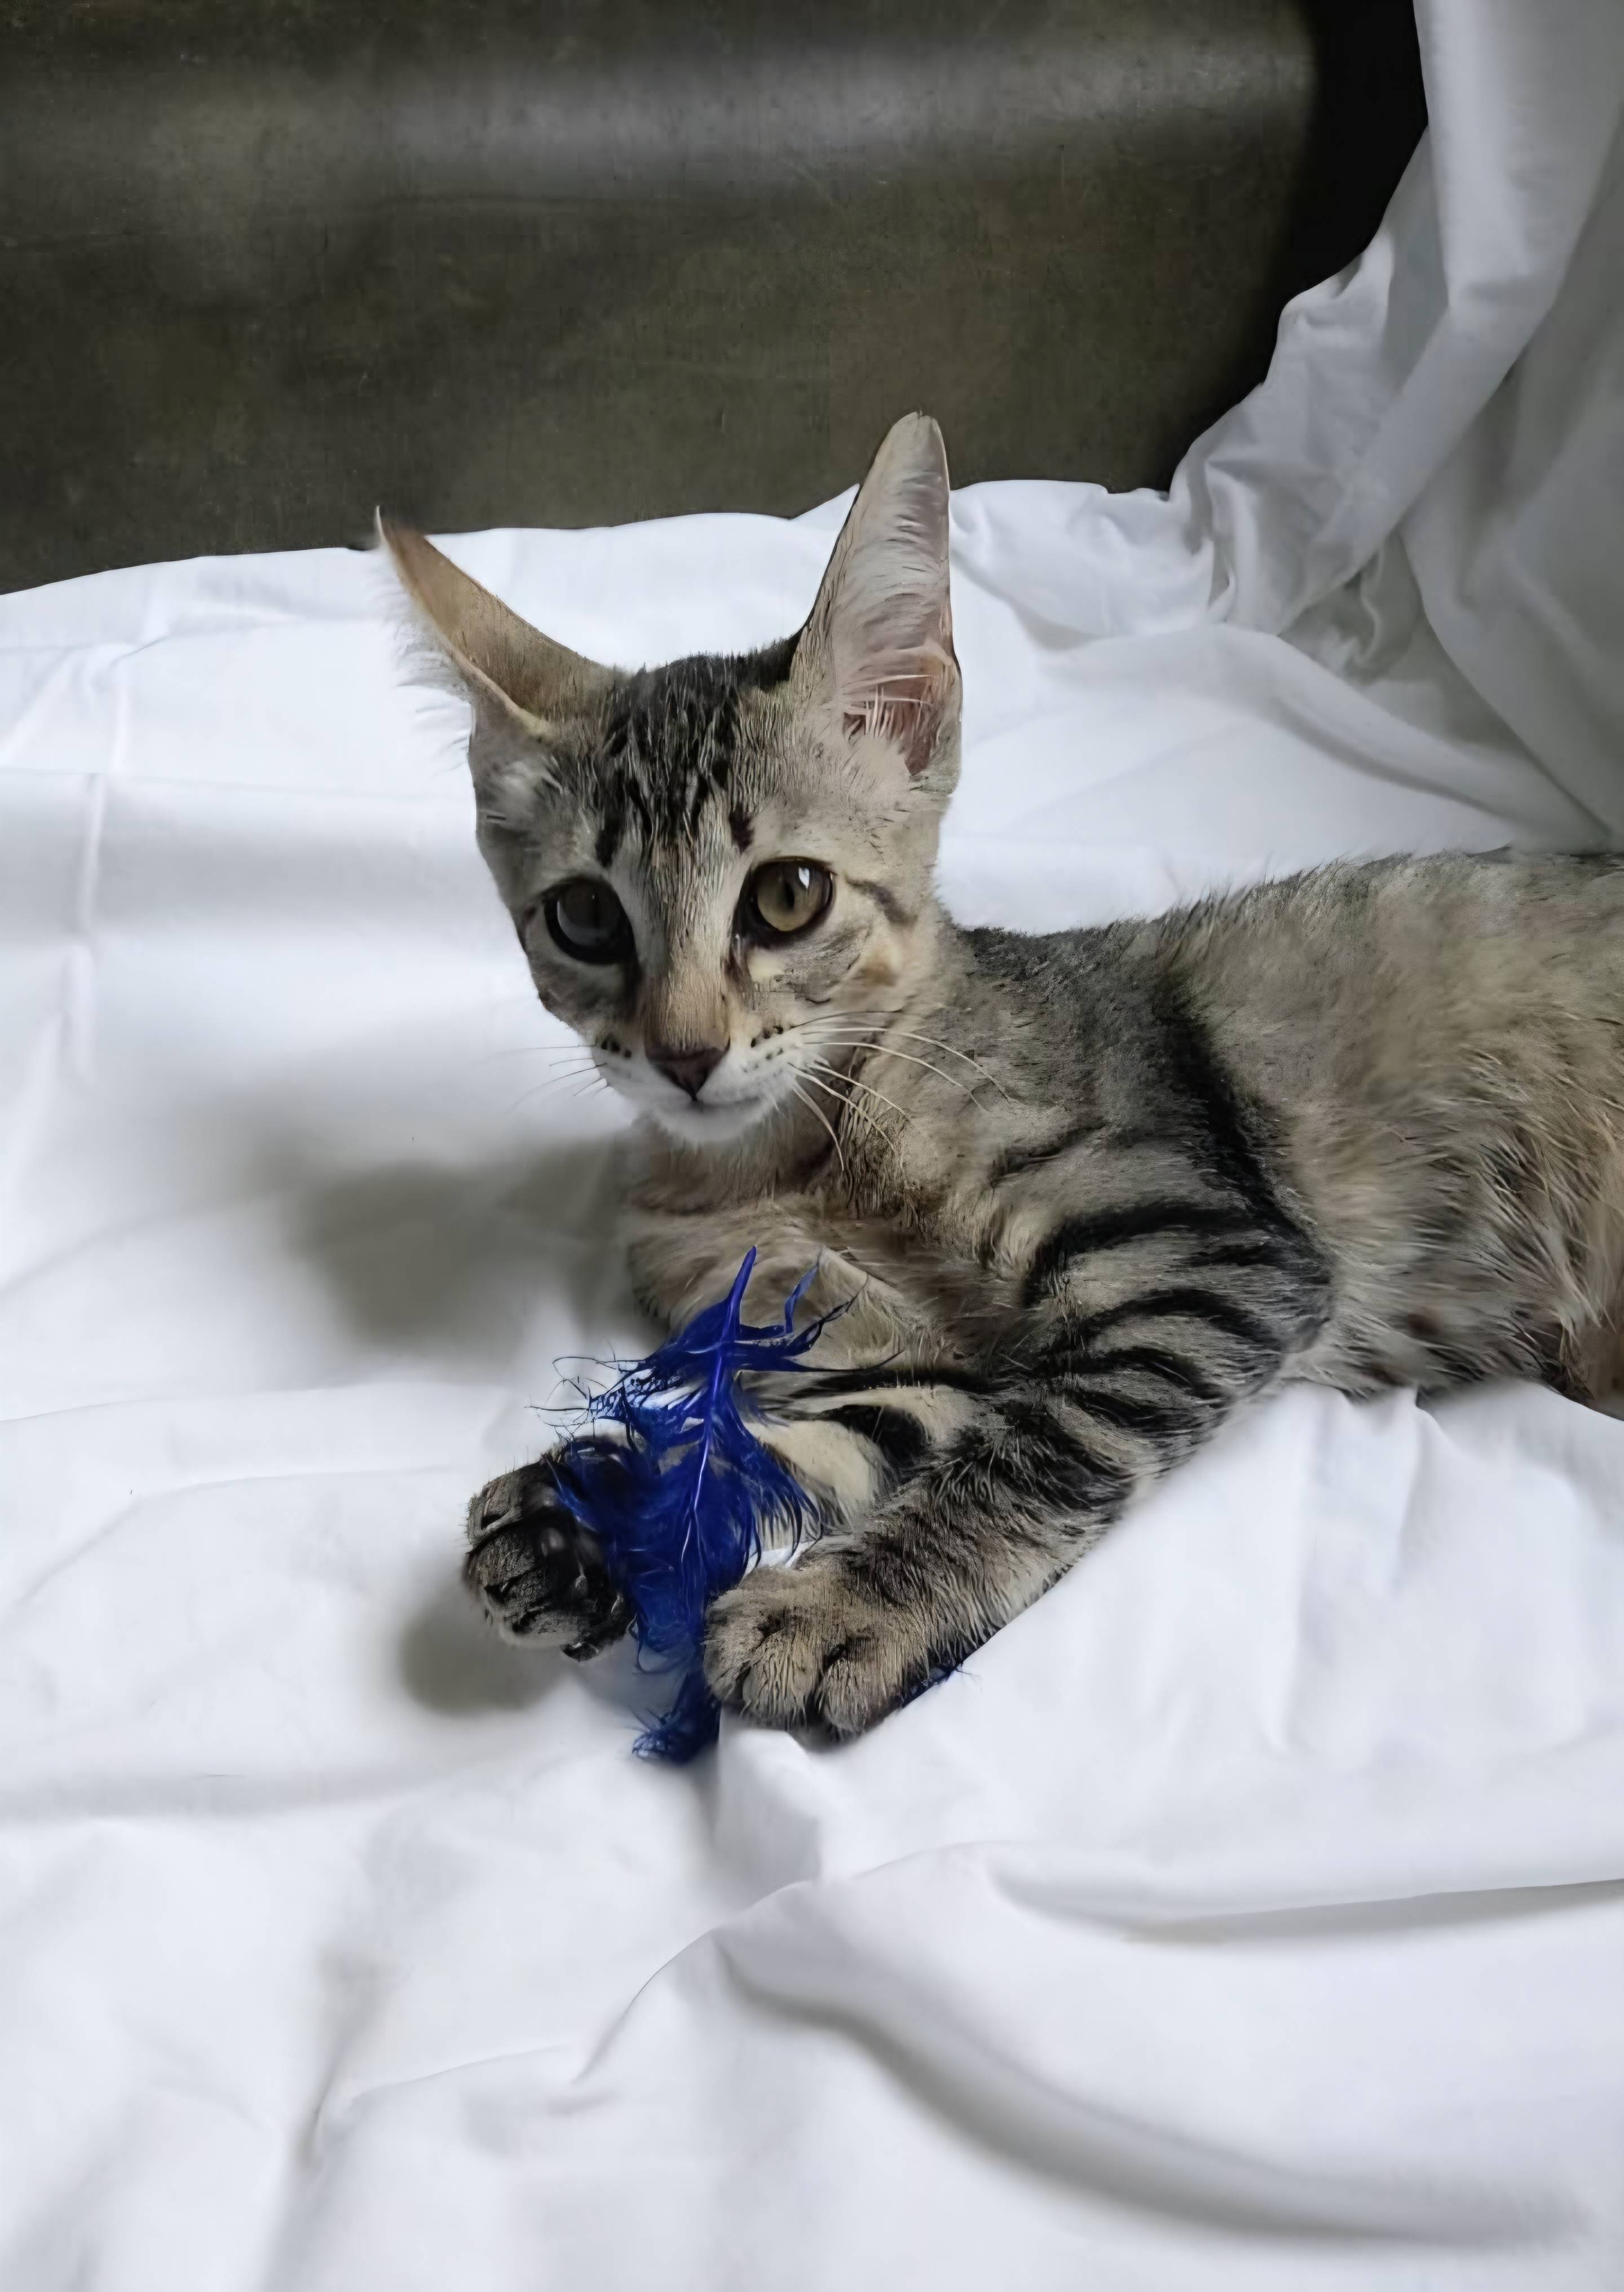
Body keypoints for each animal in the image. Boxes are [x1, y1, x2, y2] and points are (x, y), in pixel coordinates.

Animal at [383, 412, 1624, 1738]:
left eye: (787, 897)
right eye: (584, 918)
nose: (684, 1053)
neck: (798, 1157)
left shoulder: (1214, 1259)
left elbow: (1044, 1443)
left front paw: (846, 1607)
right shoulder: (912, 1358)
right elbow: (788, 1438)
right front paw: (595, 1519)